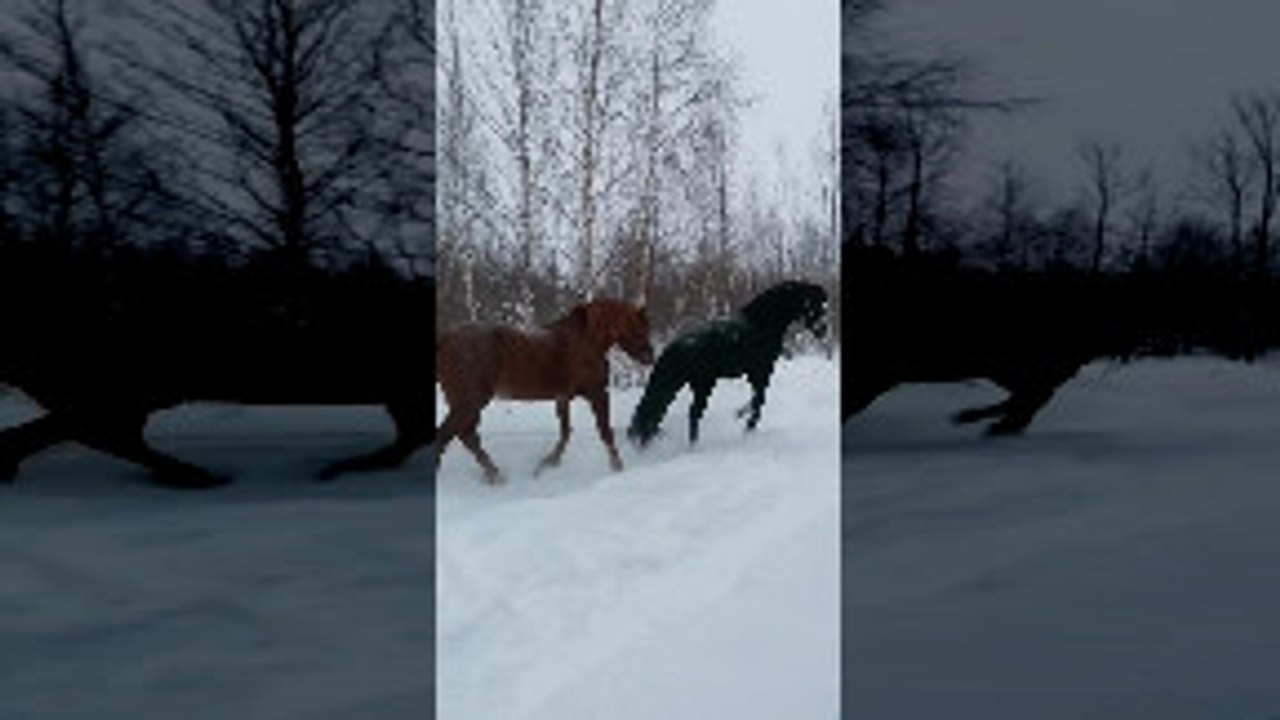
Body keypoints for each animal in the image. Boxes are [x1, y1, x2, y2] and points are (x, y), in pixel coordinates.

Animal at [435, 299, 654, 484]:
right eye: (640, 329)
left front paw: (546, 465)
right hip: (470, 402)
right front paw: (618, 468)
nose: (650, 358)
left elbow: (566, 431)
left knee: (466, 436)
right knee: (448, 435)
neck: (586, 340)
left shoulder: (563, 398)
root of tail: (445, 339)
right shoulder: (597, 393)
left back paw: (496, 476)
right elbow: (605, 432)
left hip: (466, 403)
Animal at [627, 280, 829, 447]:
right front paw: (745, 423)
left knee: (662, 413)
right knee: (688, 413)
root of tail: (673, 348)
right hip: (702, 385)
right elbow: (759, 399)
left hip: (684, 384)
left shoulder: (754, 372)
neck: (760, 324)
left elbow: (757, 397)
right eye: (813, 305)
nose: (823, 331)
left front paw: (743, 420)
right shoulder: (761, 370)